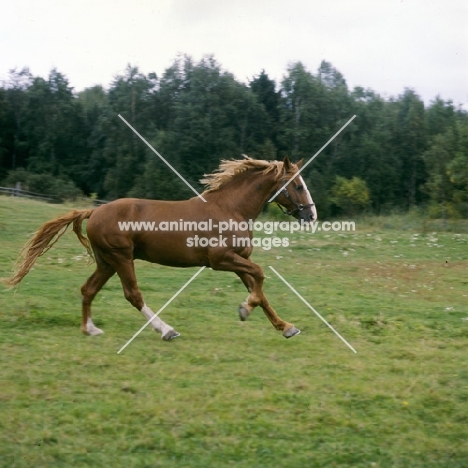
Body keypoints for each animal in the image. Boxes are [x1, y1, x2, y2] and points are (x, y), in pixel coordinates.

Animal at [2, 156, 314, 340]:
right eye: (298, 185)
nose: (312, 215)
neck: (231, 209)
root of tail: (95, 212)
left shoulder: (237, 260)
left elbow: (259, 291)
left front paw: (286, 327)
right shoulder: (221, 259)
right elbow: (259, 276)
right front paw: (244, 309)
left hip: (107, 262)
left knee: (88, 289)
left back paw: (90, 328)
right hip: (121, 258)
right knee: (133, 295)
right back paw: (166, 330)